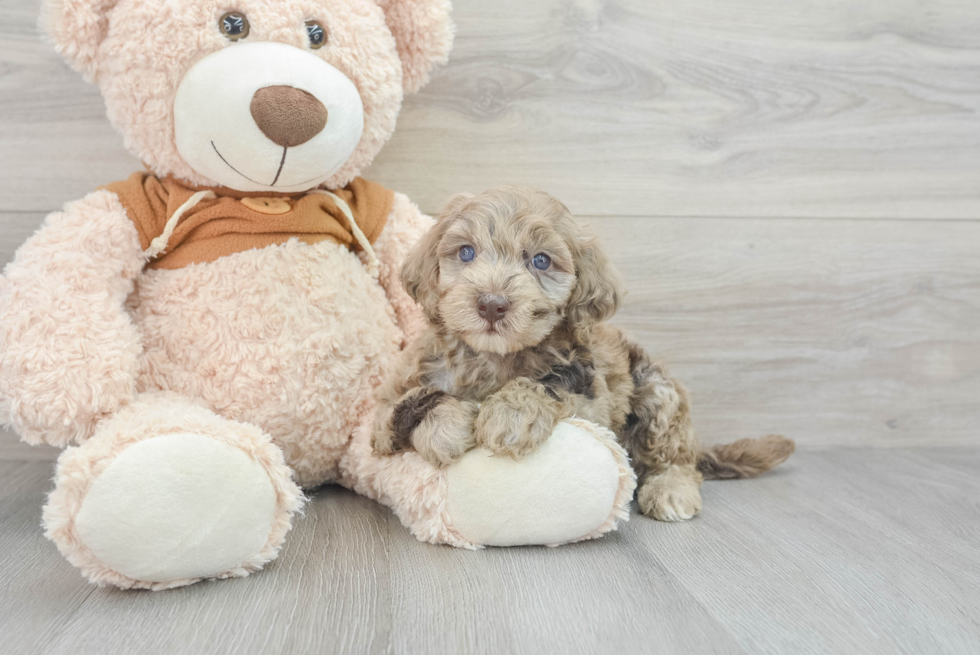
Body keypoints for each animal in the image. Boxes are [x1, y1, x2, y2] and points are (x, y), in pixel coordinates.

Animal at [372, 186, 792, 524]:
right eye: (466, 252)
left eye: (541, 260)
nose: (491, 304)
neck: (495, 358)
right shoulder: (384, 411)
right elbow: (410, 402)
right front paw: (444, 426)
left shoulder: (592, 398)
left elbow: (550, 384)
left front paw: (510, 414)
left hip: (658, 391)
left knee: (676, 458)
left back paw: (671, 490)